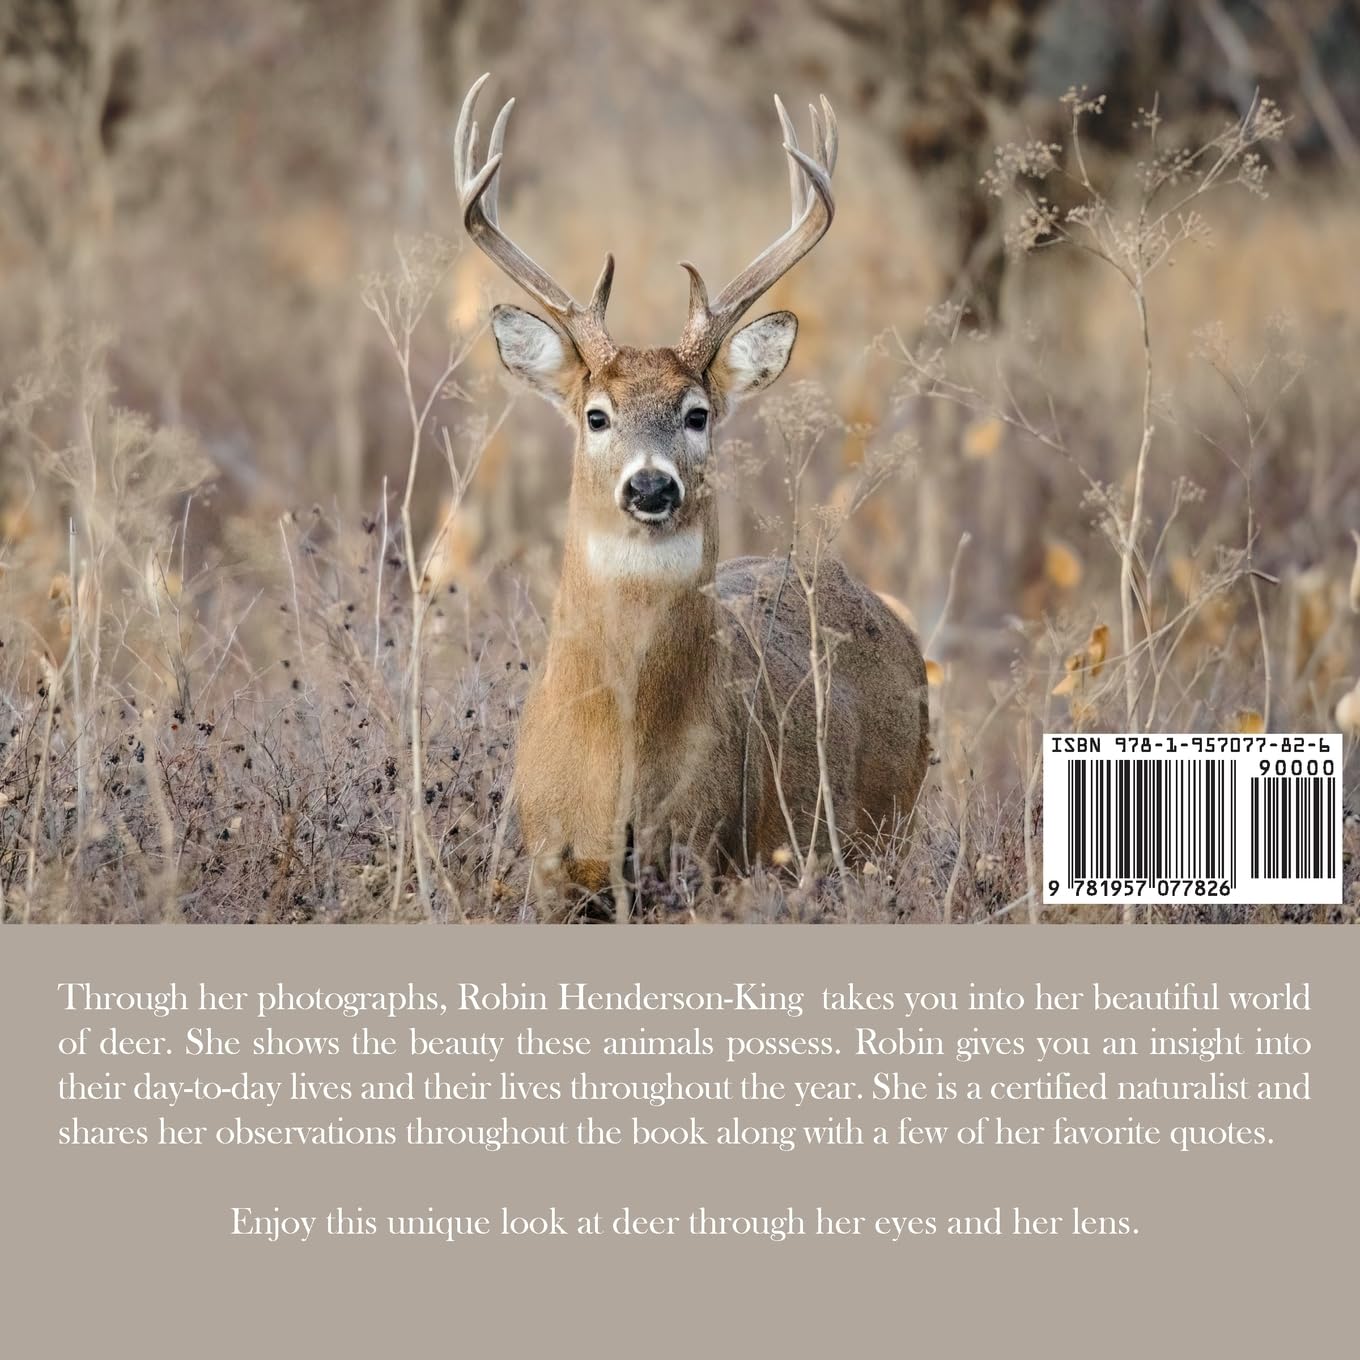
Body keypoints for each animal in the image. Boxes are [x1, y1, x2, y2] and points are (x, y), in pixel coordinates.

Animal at [454, 75, 929, 913]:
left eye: (697, 412)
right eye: (596, 414)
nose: (650, 484)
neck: (616, 760)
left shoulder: (702, 859)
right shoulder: (548, 866)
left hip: (880, 833)